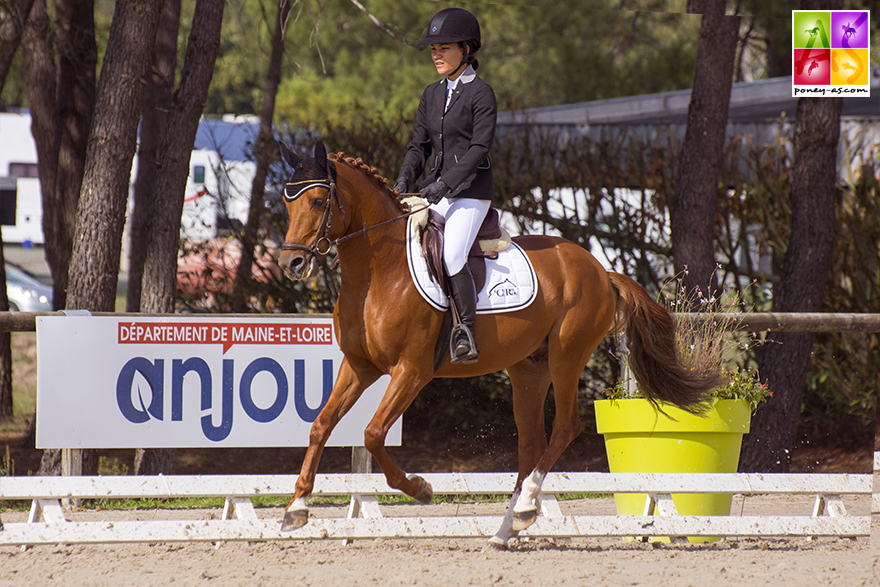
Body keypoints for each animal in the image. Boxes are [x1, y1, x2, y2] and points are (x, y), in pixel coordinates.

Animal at [278, 144, 720, 552]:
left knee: (565, 427)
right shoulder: (359, 366)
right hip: (528, 369)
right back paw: (507, 528)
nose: (291, 265)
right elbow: (321, 424)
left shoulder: (412, 371)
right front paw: (296, 508)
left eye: (318, 201)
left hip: (567, 355)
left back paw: (524, 508)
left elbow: (372, 433)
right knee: (531, 444)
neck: (379, 270)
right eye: (287, 202)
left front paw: (419, 488)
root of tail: (599, 268)